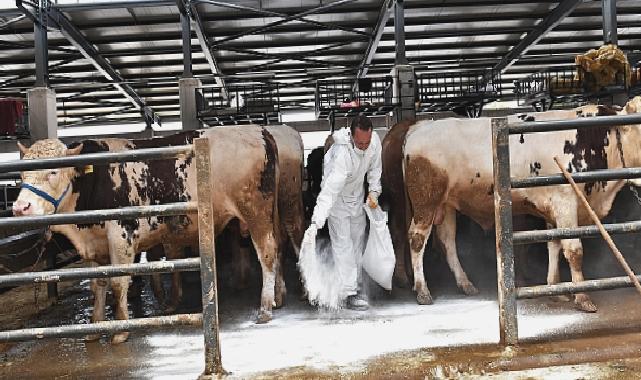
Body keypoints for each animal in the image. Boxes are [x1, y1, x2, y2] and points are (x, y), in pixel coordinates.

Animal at [11, 126, 282, 342]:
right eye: (22, 174)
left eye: (53, 172)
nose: (20, 207)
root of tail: (258, 131)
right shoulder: (96, 243)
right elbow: (98, 284)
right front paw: (94, 328)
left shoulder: (121, 235)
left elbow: (118, 283)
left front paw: (121, 330)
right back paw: (278, 297)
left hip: (255, 212)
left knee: (267, 253)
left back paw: (265, 308)